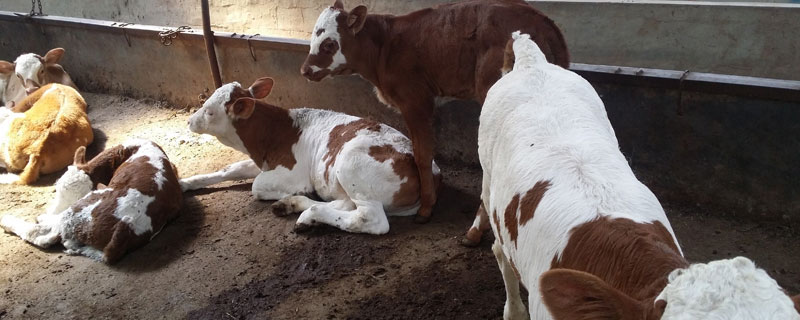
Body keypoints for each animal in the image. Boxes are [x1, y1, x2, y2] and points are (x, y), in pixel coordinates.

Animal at [0, 139, 183, 264]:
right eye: (57, 188)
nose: (52, 210)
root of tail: (128, 223)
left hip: (75, 214)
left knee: (41, 235)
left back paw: (11, 220)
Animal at [180, 76, 438, 234]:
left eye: (209, 111)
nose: (189, 121)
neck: (274, 132)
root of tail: (428, 168)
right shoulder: (264, 161)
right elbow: (229, 169)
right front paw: (186, 183)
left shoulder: (292, 174)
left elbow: (256, 186)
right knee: (347, 203)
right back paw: (293, 205)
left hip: (351, 164)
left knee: (368, 218)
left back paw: (308, 215)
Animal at [300, 0, 568, 222]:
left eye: (329, 43)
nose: (305, 70)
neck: (384, 48)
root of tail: (544, 21)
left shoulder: (415, 101)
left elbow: (423, 155)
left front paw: (426, 207)